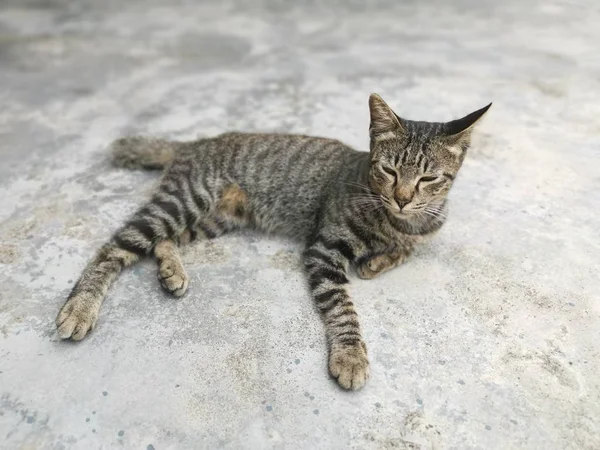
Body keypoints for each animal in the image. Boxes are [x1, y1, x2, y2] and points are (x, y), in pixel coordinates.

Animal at [55, 94, 492, 390]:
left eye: (428, 178)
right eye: (389, 171)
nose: (401, 198)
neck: (396, 219)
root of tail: (195, 143)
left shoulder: (423, 229)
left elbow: (407, 248)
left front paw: (378, 260)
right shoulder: (323, 249)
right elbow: (343, 307)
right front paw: (351, 354)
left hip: (214, 218)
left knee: (163, 241)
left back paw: (170, 270)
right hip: (183, 201)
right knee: (114, 247)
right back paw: (79, 308)